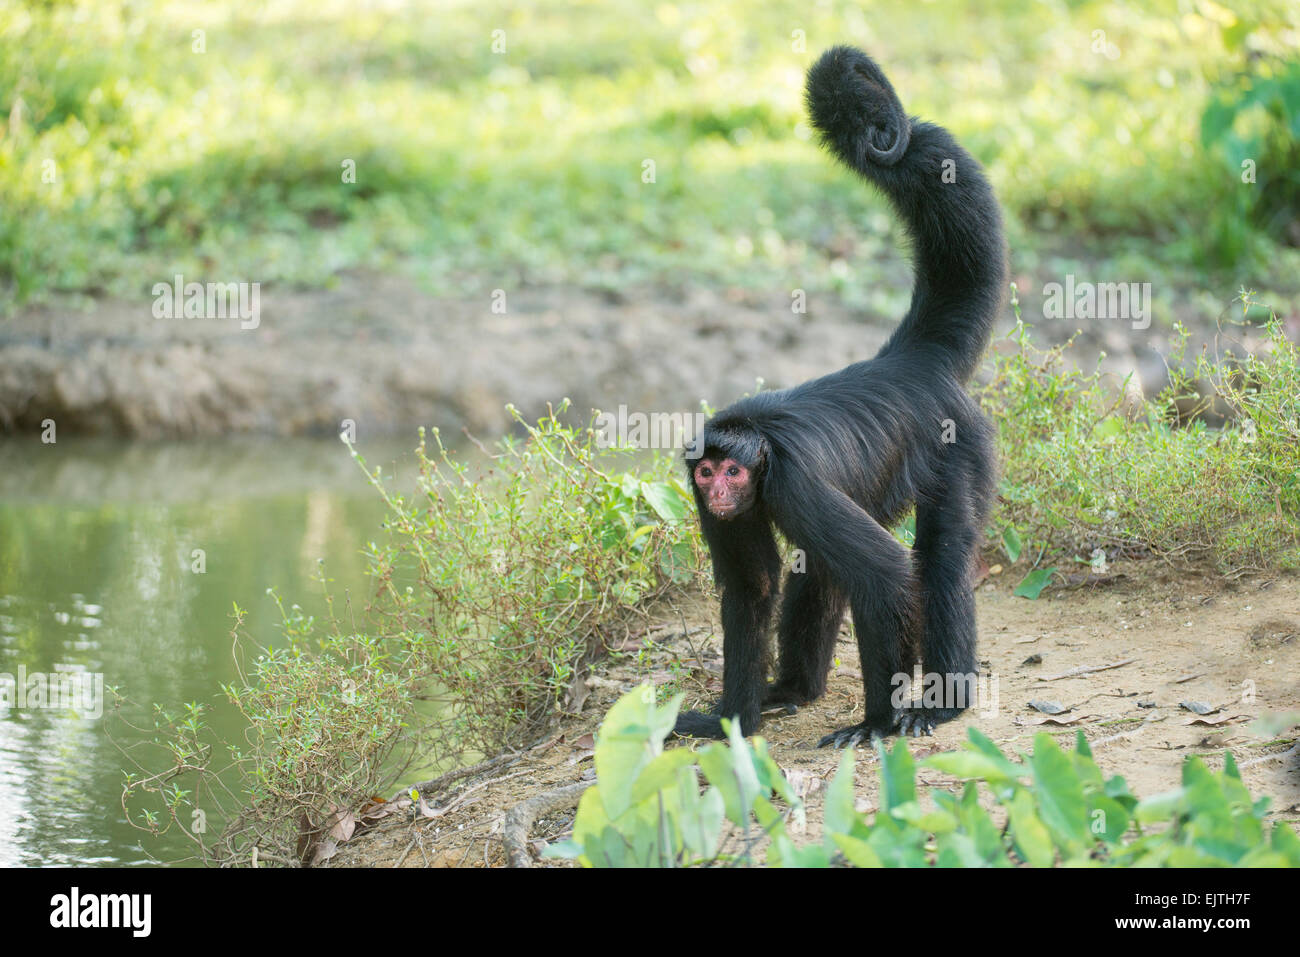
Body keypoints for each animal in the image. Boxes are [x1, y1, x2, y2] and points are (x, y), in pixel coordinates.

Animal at [673, 46, 1007, 747]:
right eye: (709, 473)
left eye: (734, 471)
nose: (720, 491)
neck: (760, 450)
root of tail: (909, 361)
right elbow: (754, 588)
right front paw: (729, 724)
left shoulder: (791, 480)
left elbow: (886, 574)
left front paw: (877, 722)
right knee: (819, 568)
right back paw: (794, 690)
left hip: (957, 446)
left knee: (938, 556)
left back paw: (942, 703)